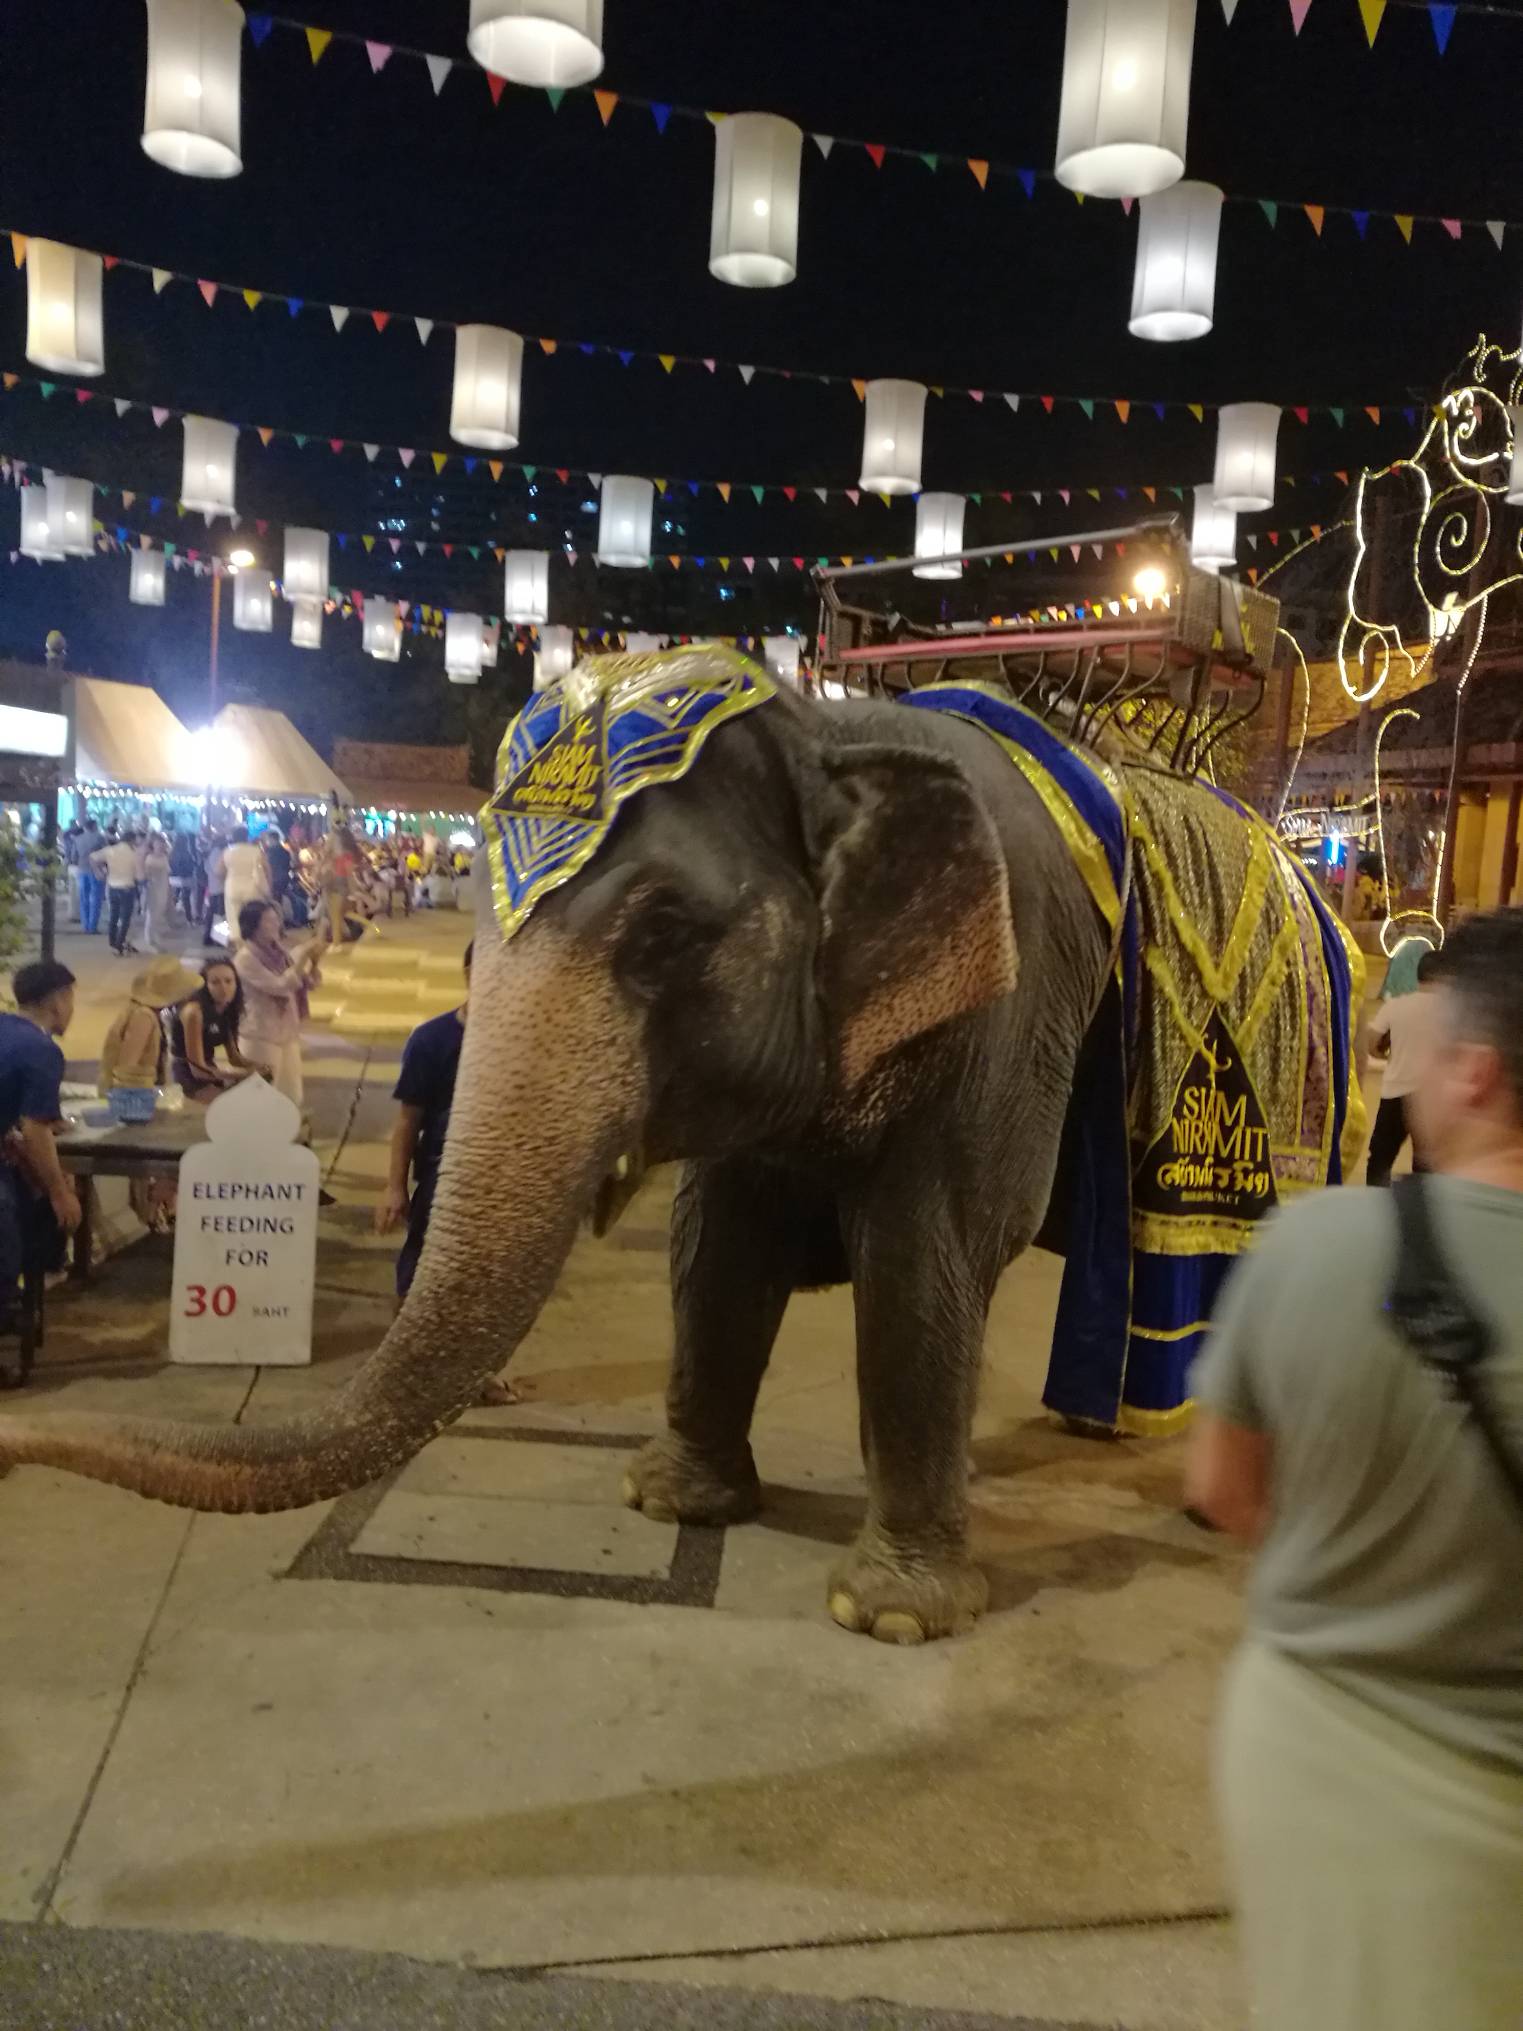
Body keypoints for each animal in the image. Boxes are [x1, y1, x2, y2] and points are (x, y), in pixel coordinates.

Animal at [0, 653, 1356, 1649]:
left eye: (658, 936)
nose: (14, 1452)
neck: (834, 730)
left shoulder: (1010, 1007)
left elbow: (925, 1264)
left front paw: (891, 1617)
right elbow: (717, 1247)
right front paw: (672, 1498)